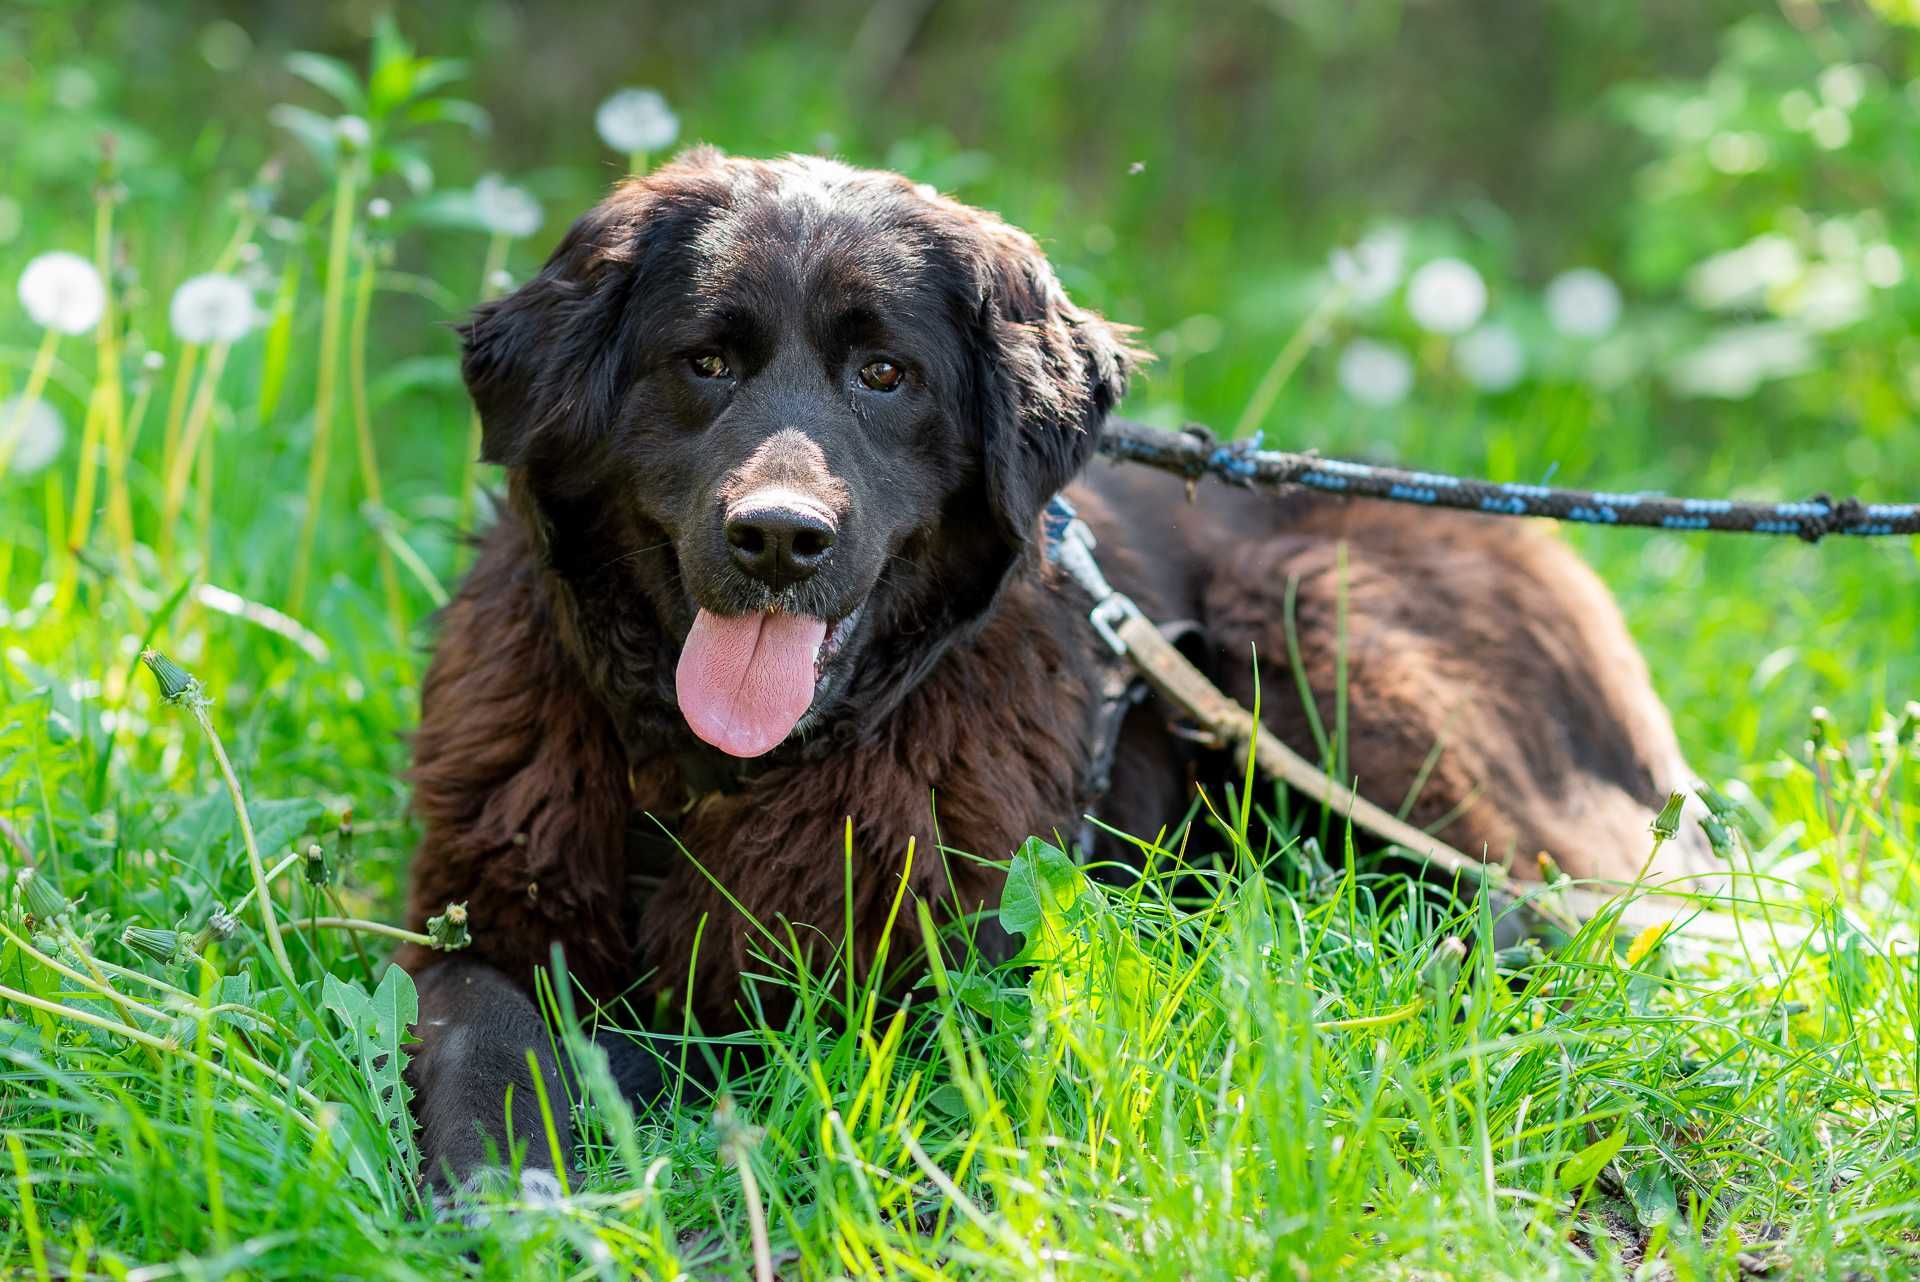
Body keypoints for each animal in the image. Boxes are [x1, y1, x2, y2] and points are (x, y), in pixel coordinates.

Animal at [393, 152, 1712, 1189]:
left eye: (886, 376)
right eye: (704, 363)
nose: (777, 537)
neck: (715, 774)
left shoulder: (943, 970)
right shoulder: (484, 913)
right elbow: (481, 1036)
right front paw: (516, 1191)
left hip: (1312, 623)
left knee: (1545, 911)